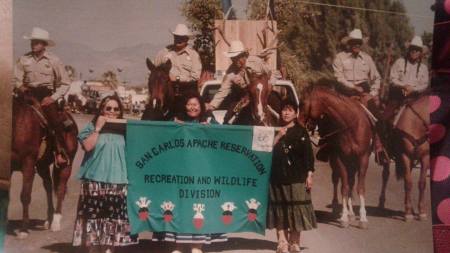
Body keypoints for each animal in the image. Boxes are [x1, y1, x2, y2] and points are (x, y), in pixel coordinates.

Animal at [11, 97, 77, 239]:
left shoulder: (28, 165)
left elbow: (25, 195)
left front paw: (24, 230)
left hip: (65, 166)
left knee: (60, 188)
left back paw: (55, 222)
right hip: (42, 166)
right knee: (48, 186)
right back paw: (49, 219)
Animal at [300, 86, 370, 228]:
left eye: (303, 103)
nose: (297, 121)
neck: (350, 126)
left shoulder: (363, 159)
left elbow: (360, 187)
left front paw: (363, 218)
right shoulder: (339, 159)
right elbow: (344, 187)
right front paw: (344, 217)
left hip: (353, 164)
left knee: (351, 182)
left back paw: (351, 213)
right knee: (338, 180)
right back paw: (340, 209)